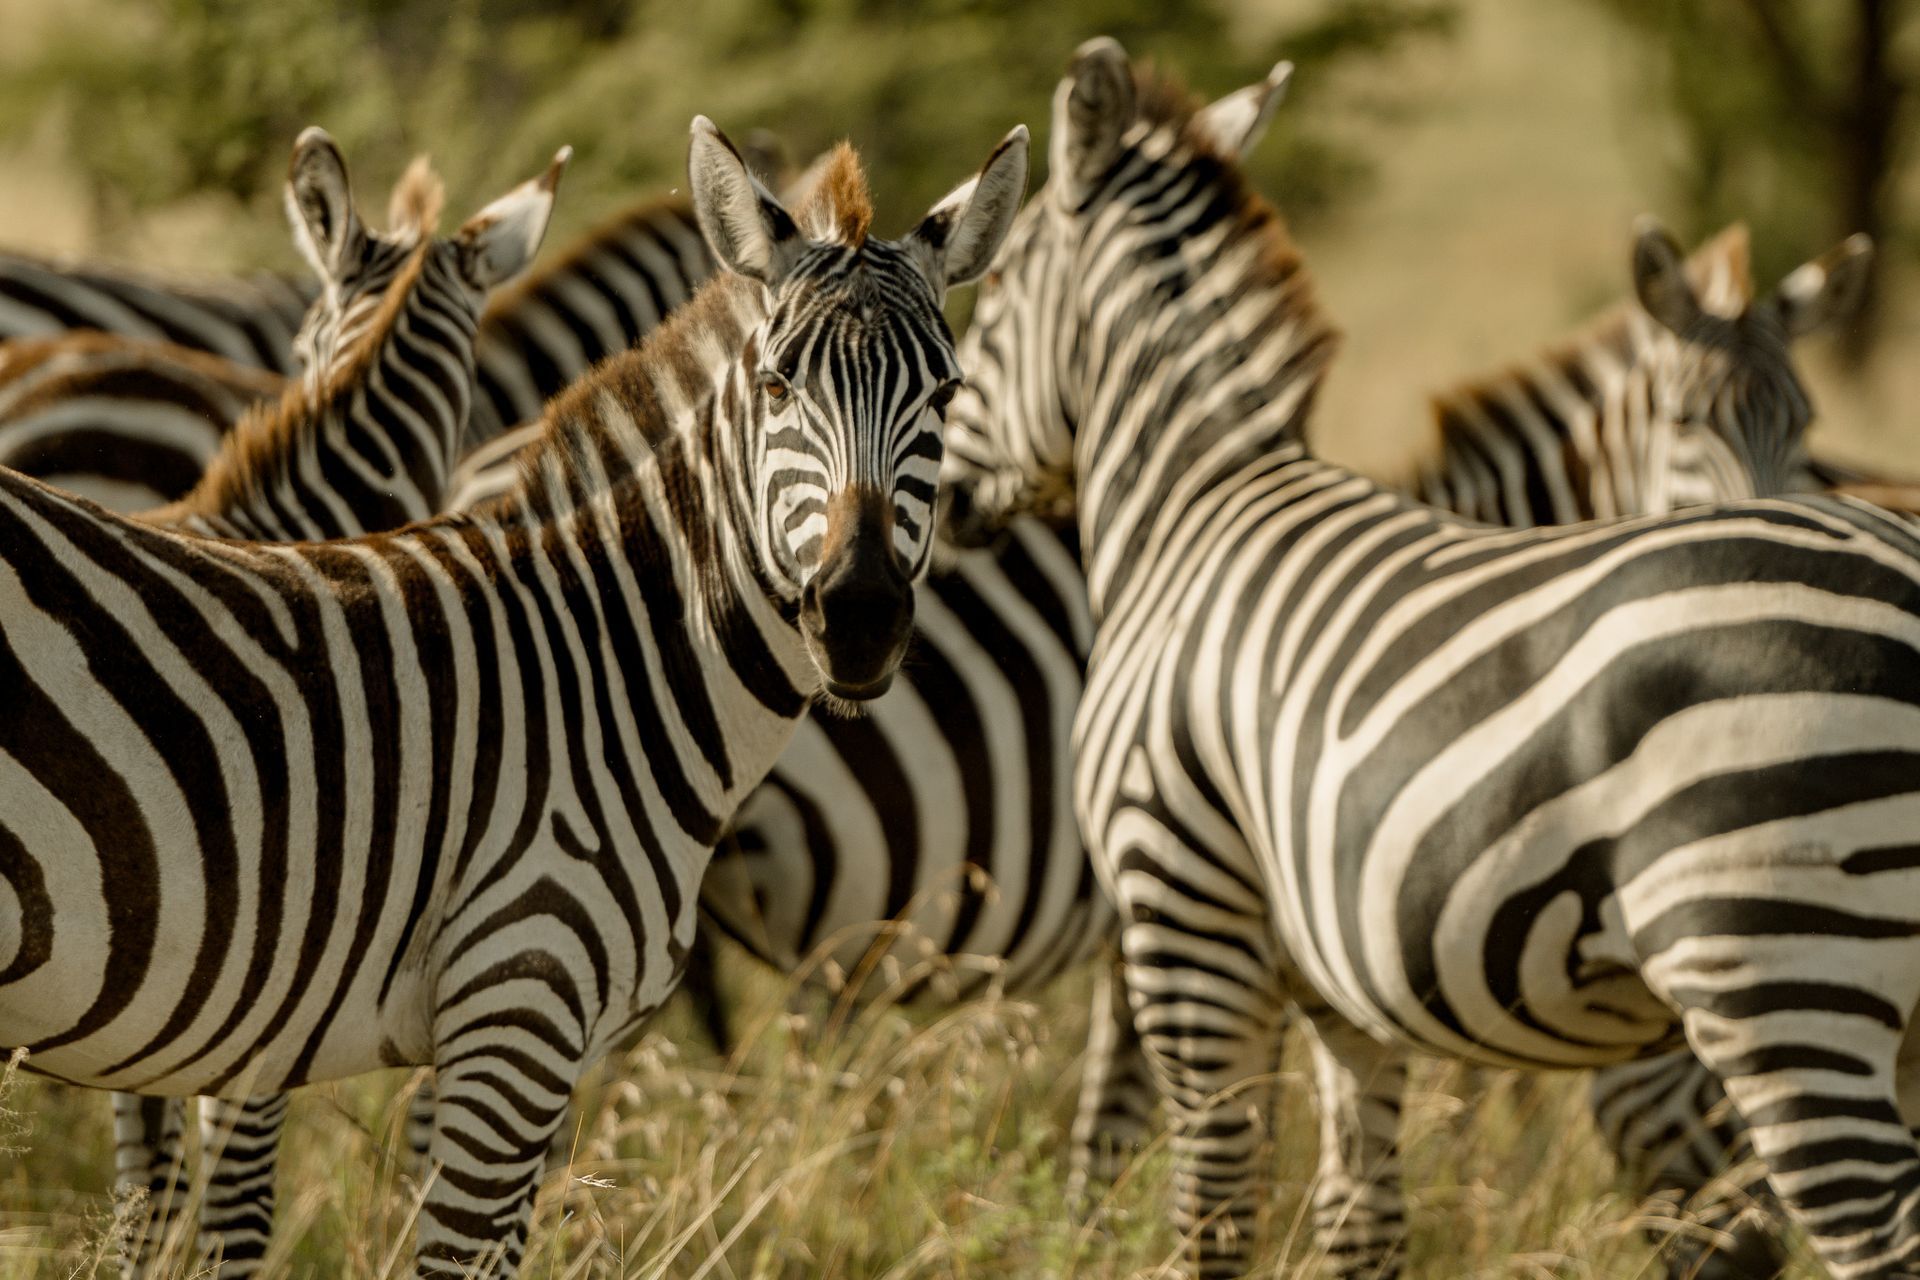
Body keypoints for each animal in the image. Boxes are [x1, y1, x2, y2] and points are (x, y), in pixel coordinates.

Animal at [947, 38, 1920, 1280]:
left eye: (992, 293)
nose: (948, 502)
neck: (1192, 501)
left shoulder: (1183, 913)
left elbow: (1212, 1207)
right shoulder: (1343, 998)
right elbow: (1361, 1219)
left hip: (1780, 970)